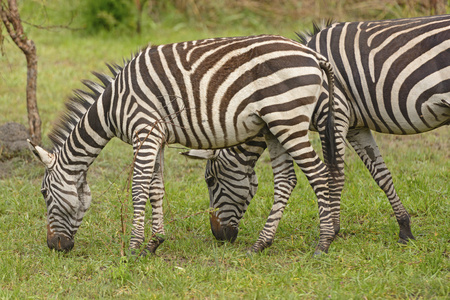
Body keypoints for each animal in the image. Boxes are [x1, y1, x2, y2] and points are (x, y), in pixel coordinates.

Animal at [28, 35, 340, 255]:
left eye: (44, 193)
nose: (54, 246)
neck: (112, 107)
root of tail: (314, 55)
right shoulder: (157, 137)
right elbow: (156, 188)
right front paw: (154, 244)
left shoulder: (144, 130)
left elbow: (138, 187)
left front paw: (133, 248)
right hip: (274, 126)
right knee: (287, 179)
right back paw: (260, 245)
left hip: (287, 119)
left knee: (319, 173)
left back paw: (323, 243)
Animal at [183, 14, 450, 253]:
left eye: (210, 180)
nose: (219, 237)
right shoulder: (356, 125)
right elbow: (380, 174)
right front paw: (404, 229)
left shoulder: (334, 114)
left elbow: (334, 174)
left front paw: (332, 231)